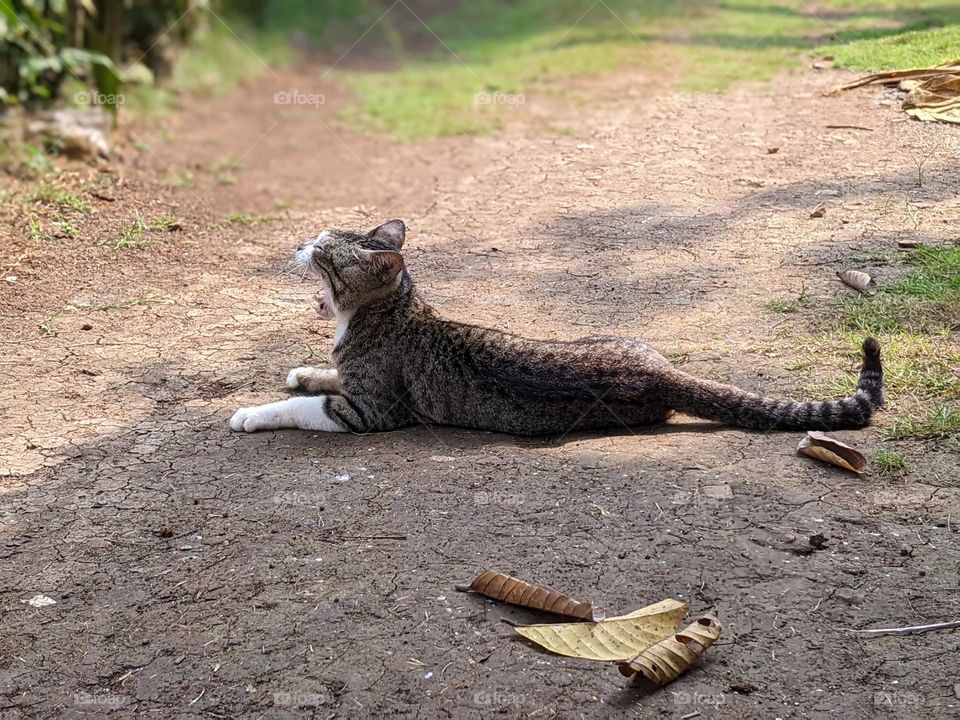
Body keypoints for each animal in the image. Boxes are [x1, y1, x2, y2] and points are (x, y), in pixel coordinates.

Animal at [227, 219, 884, 434]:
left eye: (324, 253)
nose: (299, 244)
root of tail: (659, 370)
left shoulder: (372, 410)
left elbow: (306, 407)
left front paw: (253, 413)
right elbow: (323, 375)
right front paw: (304, 369)